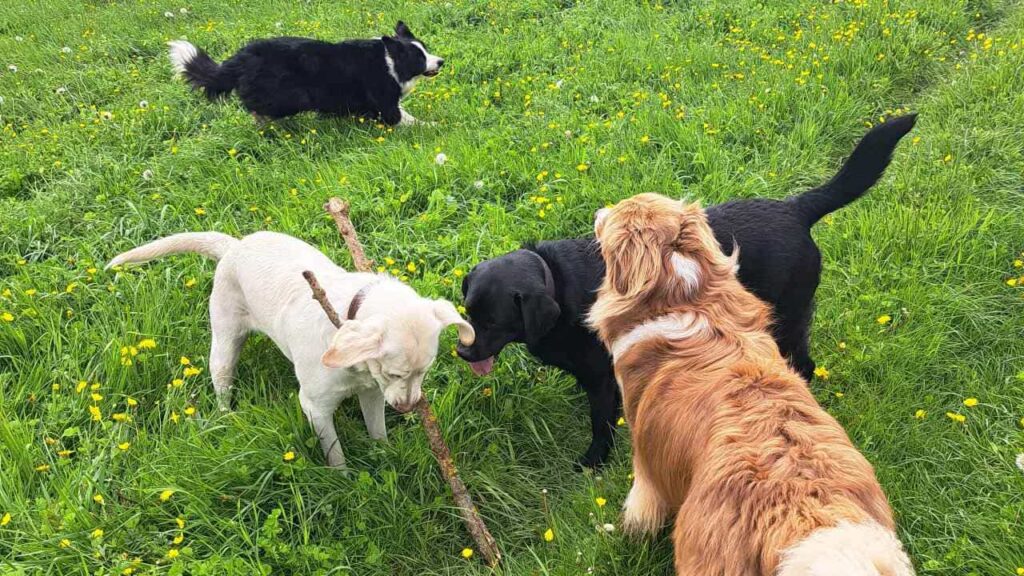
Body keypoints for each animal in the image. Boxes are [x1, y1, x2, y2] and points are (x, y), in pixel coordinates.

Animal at [105, 228, 473, 467]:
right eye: (395, 373)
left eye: (424, 372)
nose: (409, 408)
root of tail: (234, 246)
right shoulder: (315, 408)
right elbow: (335, 454)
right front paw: (344, 480)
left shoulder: (372, 394)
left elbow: (377, 432)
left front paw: (384, 457)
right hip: (224, 344)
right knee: (222, 383)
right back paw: (227, 416)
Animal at [165, 21, 442, 123]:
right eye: (419, 57)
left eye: (425, 50)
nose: (441, 61)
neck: (389, 61)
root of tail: (241, 57)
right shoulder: (384, 101)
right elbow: (403, 118)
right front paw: (428, 125)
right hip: (289, 97)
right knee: (259, 109)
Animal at [460, 115, 917, 467]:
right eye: (467, 313)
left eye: (493, 322)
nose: (462, 353)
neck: (557, 281)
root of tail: (796, 208)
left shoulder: (601, 378)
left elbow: (600, 423)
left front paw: (593, 461)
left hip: (789, 317)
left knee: (803, 362)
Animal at [585, 193, 913, 573]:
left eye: (616, 215)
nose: (597, 212)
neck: (686, 298)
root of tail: (801, 512)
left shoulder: (646, 461)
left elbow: (641, 503)